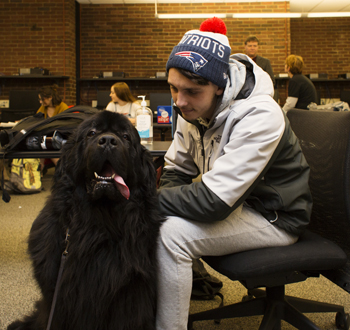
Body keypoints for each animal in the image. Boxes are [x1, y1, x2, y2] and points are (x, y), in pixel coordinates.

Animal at [8, 111, 164, 330]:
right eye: (92, 133)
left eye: (125, 136)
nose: (108, 141)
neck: (100, 224)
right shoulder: (59, 298)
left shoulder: (131, 299)